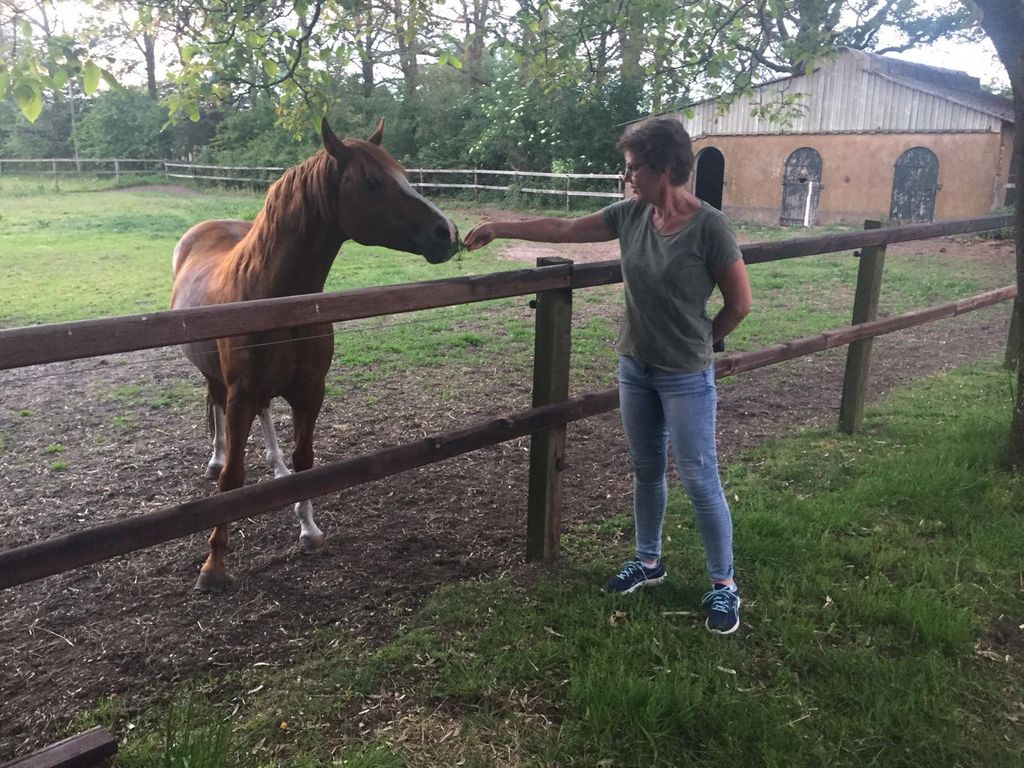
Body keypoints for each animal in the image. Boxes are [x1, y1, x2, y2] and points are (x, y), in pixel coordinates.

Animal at [169, 117, 458, 593]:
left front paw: (308, 529)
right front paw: (213, 565)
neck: (275, 297)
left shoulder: (309, 393)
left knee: (266, 417)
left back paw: (276, 467)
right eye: (373, 181)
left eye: (403, 173)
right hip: (217, 379)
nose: (446, 232)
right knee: (214, 405)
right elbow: (233, 478)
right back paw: (215, 457)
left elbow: (307, 463)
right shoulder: (241, 394)